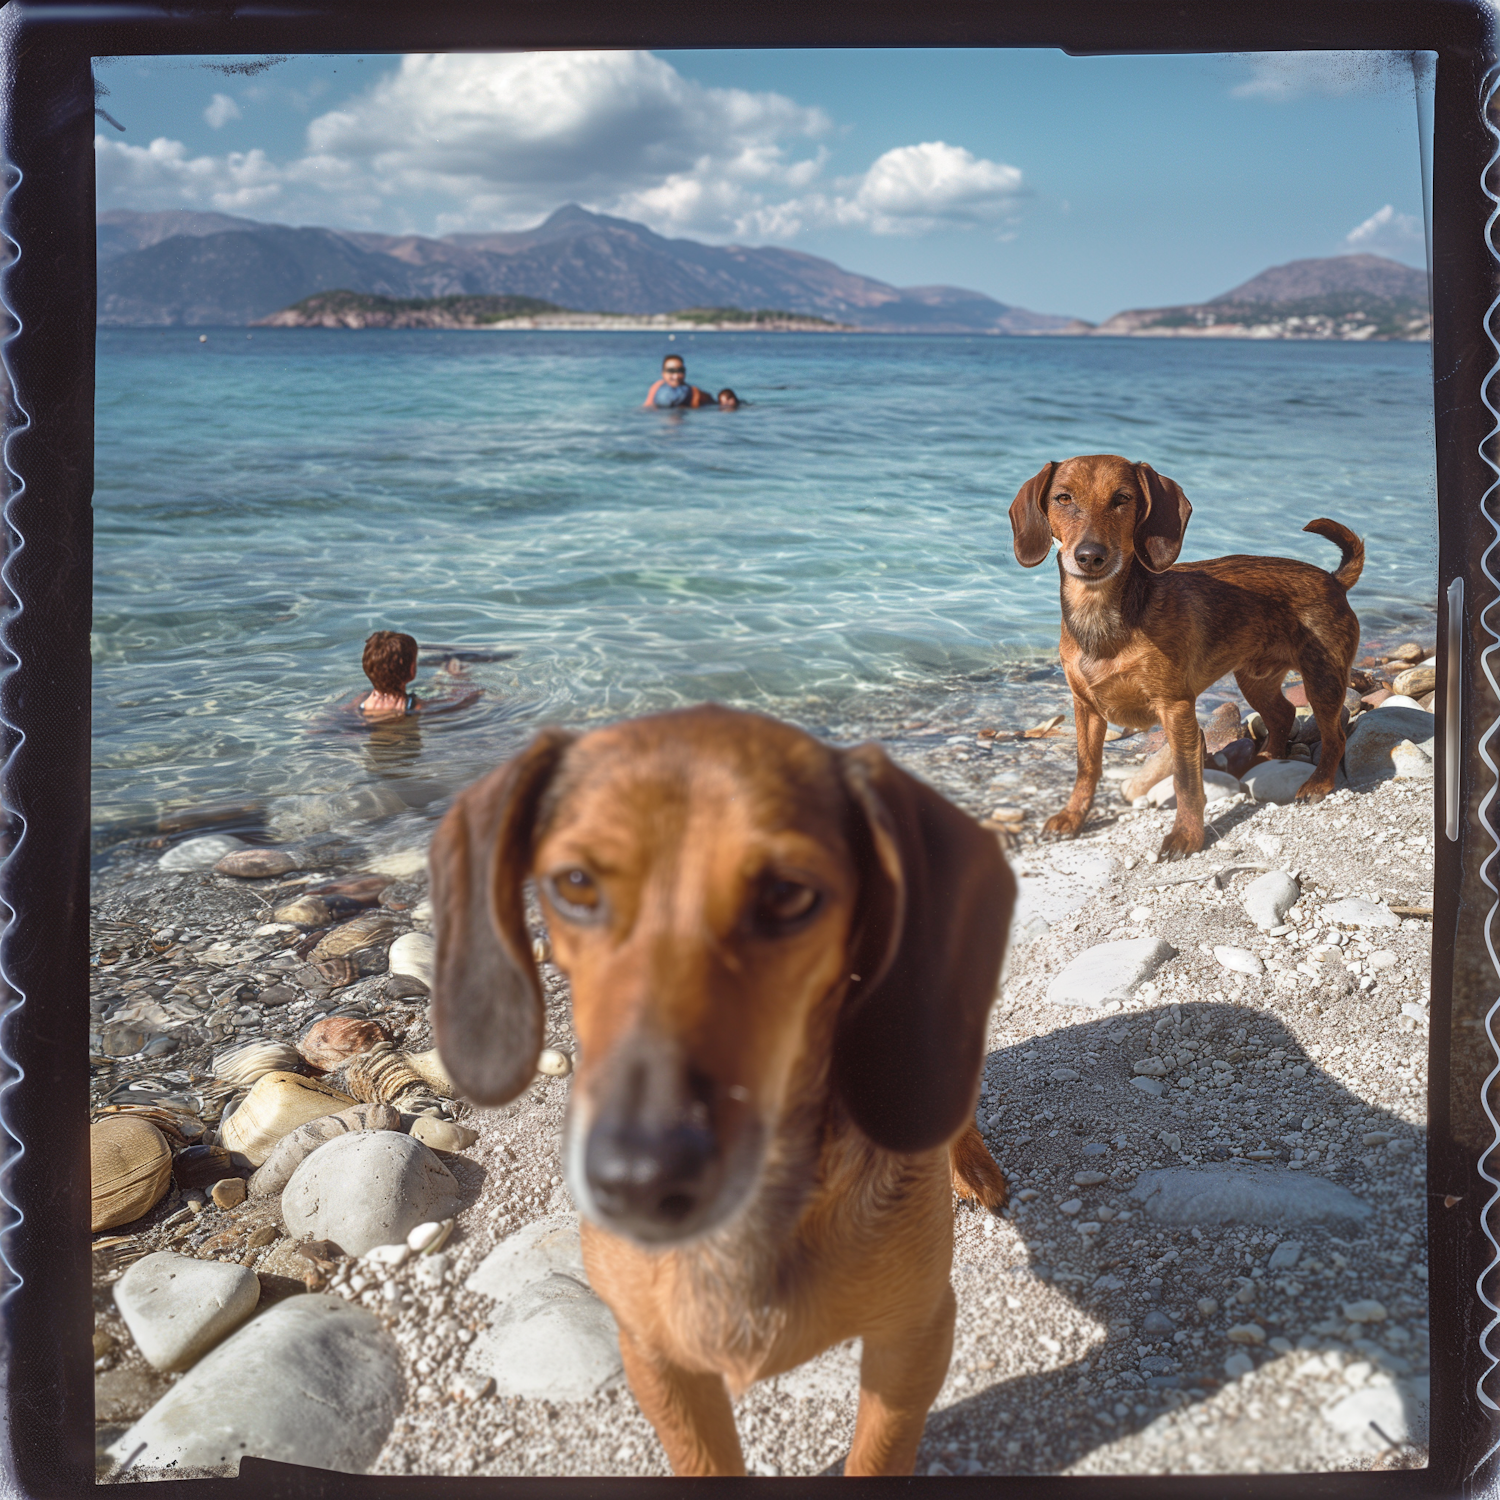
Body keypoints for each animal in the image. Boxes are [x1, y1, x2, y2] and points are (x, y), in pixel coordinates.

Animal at [429, 705, 1014, 1476]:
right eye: (575, 883)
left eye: (789, 894)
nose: (639, 1181)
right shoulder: (658, 1362)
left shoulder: (913, 1338)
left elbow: (879, 1455)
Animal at [1014, 450, 1368, 864]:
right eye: (1063, 498)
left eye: (1122, 499)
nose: (1090, 556)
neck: (1102, 616)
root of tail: (1333, 580)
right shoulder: (1085, 708)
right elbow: (1087, 767)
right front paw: (1073, 816)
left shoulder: (1177, 710)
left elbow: (1185, 781)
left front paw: (1186, 836)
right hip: (1255, 680)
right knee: (1282, 714)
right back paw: (1266, 759)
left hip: (1323, 681)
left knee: (1334, 736)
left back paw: (1318, 783)